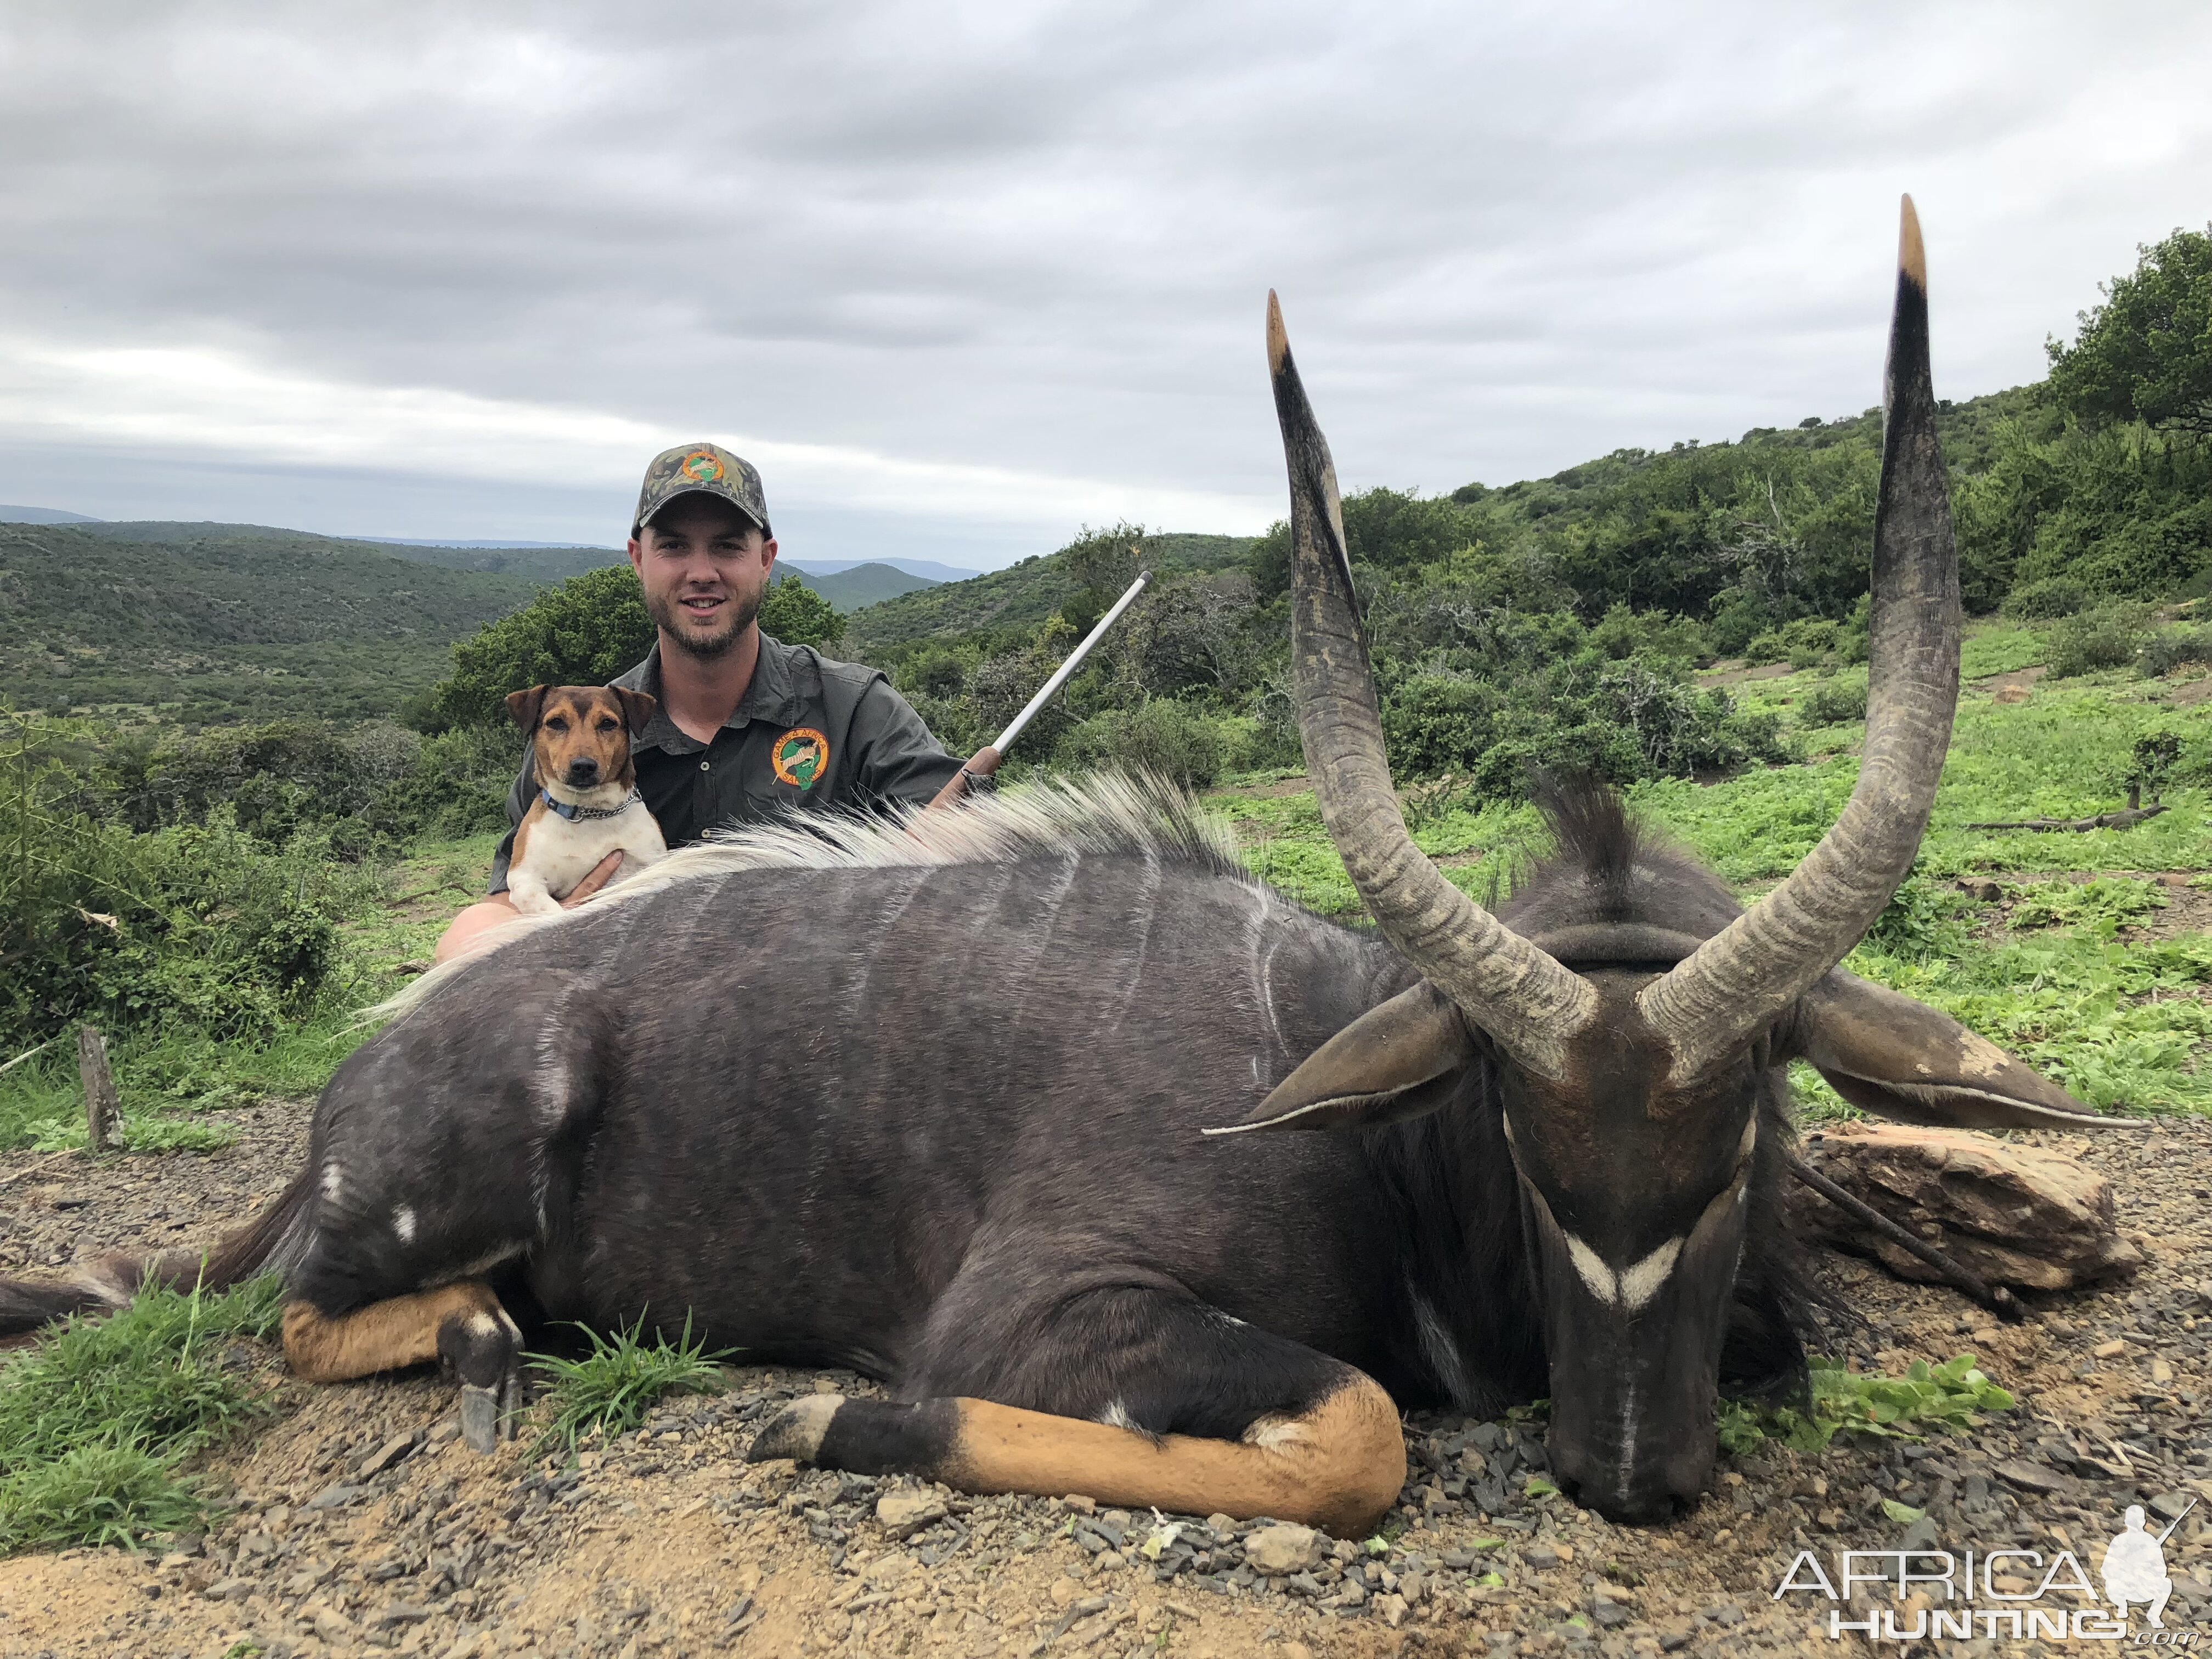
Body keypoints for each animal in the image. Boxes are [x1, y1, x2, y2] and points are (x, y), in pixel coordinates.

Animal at [4, 201, 2141, 1539]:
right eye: (1522, 1133)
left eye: (1762, 1113)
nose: (1632, 1470)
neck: (1347, 1103)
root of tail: (351, 1090)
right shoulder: (1044, 1306)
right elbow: (1359, 1428)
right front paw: (826, 1411)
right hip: (411, 1209)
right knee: (296, 1315)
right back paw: (478, 1338)